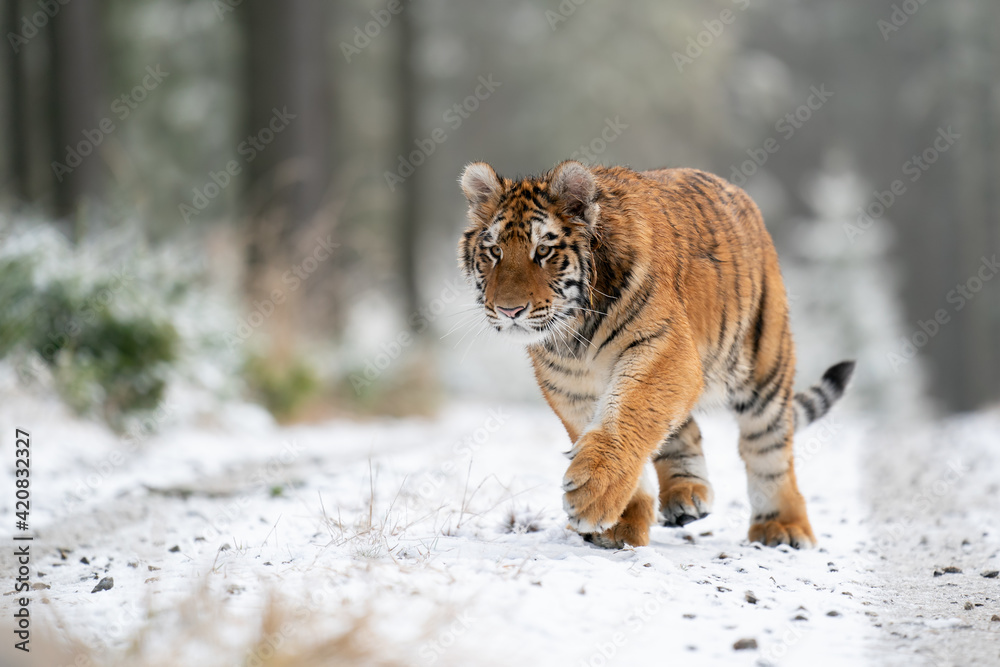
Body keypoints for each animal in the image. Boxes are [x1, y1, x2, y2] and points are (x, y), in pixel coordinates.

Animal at [457, 160, 854, 549]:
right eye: (494, 252)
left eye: (543, 251)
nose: (509, 310)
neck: (575, 330)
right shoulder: (570, 383)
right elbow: (609, 424)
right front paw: (618, 522)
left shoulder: (663, 347)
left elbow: (629, 413)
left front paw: (594, 494)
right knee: (682, 428)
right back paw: (687, 495)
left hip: (764, 368)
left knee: (769, 448)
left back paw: (784, 526)